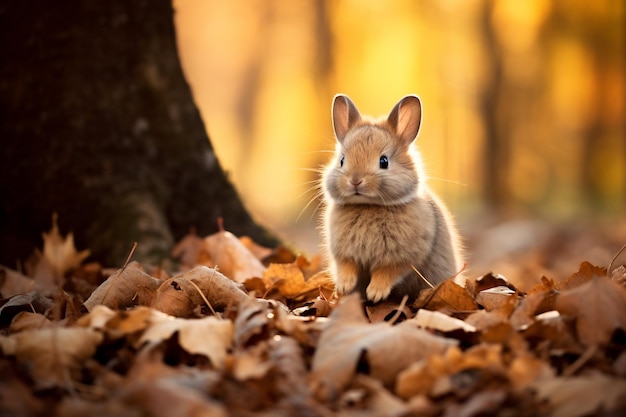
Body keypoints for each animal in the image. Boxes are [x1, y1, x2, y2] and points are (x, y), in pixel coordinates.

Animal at [322, 93, 458, 302]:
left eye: (384, 161)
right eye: (342, 160)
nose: (355, 180)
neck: (368, 205)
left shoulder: (402, 258)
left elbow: (387, 272)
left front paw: (375, 293)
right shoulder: (344, 255)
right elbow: (347, 267)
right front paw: (344, 286)